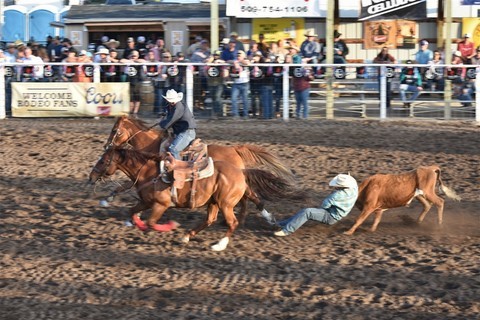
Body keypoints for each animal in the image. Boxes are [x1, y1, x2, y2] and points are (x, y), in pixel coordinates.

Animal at [89, 147, 300, 250]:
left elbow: (151, 223)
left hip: (224, 204)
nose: (91, 177)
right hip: (213, 203)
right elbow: (132, 212)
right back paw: (187, 236)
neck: (149, 173)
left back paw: (219, 245)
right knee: (211, 219)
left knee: (232, 222)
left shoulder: (160, 205)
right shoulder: (145, 201)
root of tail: (240, 172)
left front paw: (170, 226)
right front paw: (136, 223)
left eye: (103, 160)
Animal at [102, 115, 294, 225]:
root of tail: (235, 149)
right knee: (246, 198)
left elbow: (128, 185)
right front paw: (110, 199)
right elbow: (125, 186)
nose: (106, 146)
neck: (153, 145)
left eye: (115, 130)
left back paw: (263, 217)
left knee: (251, 196)